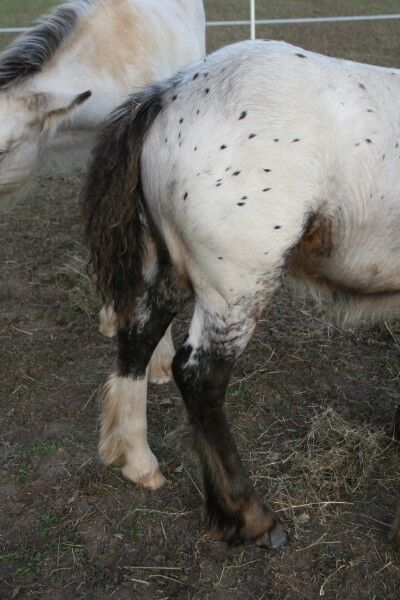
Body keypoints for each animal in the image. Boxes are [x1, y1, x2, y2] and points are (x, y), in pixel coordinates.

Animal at [84, 39, 400, 552]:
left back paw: (137, 460)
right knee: (199, 376)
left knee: (139, 335)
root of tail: (168, 94)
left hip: (175, 268)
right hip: (237, 287)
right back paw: (249, 516)